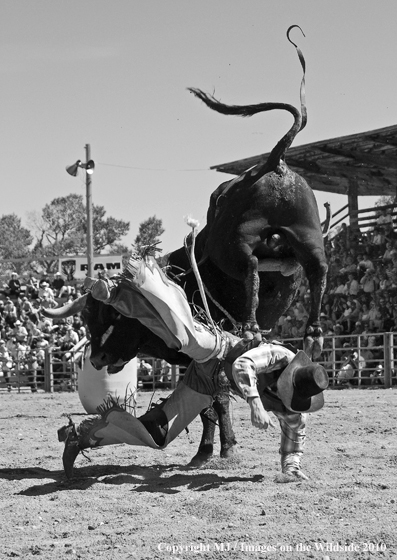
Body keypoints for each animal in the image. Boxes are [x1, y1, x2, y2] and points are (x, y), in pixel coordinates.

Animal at [42, 24, 328, 466]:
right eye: (87, 319)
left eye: (112, 317)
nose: (98, 359)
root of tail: (272, 164)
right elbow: (212, 402)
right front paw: (213, 447)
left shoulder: (205, 359)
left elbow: (216, 402)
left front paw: (218, 449)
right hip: (309, 236)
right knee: (317, 271)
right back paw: (311, 330)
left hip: (236, 243)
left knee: (251, 269)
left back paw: (252, 326)